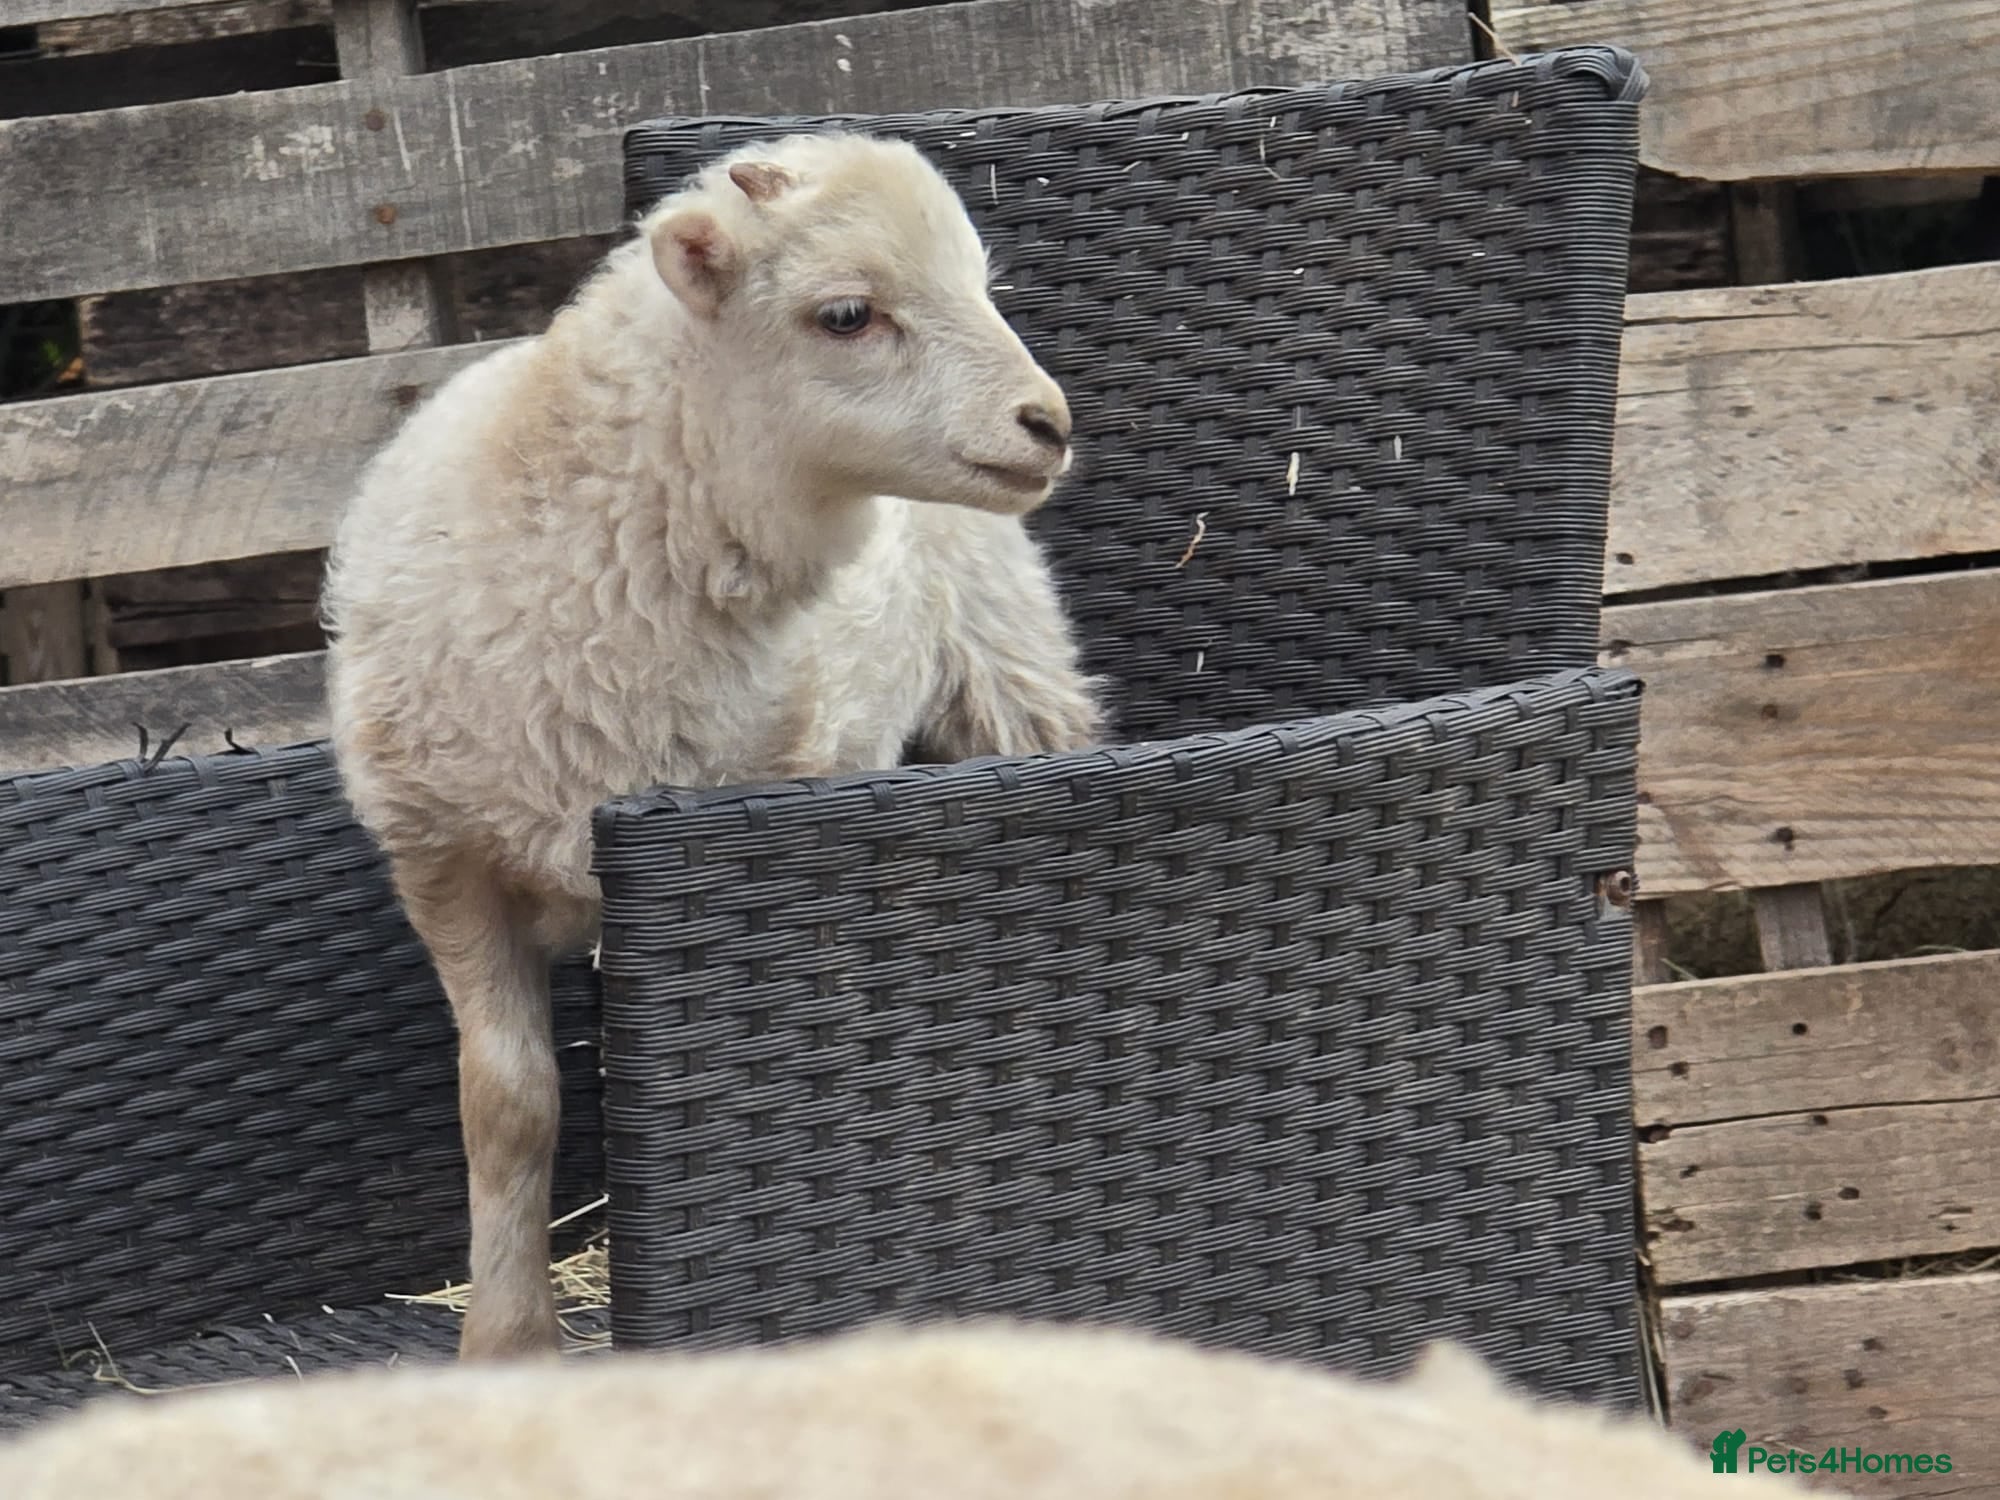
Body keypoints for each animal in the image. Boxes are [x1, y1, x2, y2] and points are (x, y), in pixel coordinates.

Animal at [319, 132, 1105, 1362]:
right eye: (846, 313)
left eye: (980, 284)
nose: (1049, 424)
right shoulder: (444, 856)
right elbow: (507, 1107)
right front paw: (506, 1341)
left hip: (1010, 676)